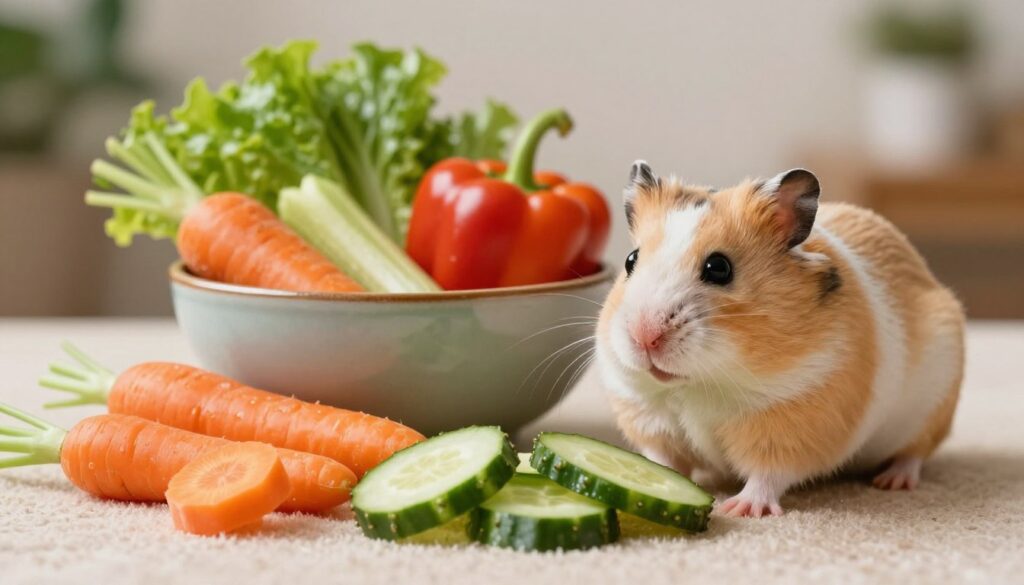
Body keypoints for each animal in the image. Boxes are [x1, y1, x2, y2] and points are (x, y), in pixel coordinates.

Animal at [596, 161, 965, 517]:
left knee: (915, 452)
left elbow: (768, 473)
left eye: (719, 268)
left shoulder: (793, 420)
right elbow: (662, 460)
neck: (700, 384)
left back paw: (893, 481)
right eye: (631, 260)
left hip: (934, 407)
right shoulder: (650, 417)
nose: (644, 337)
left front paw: (741, 509)